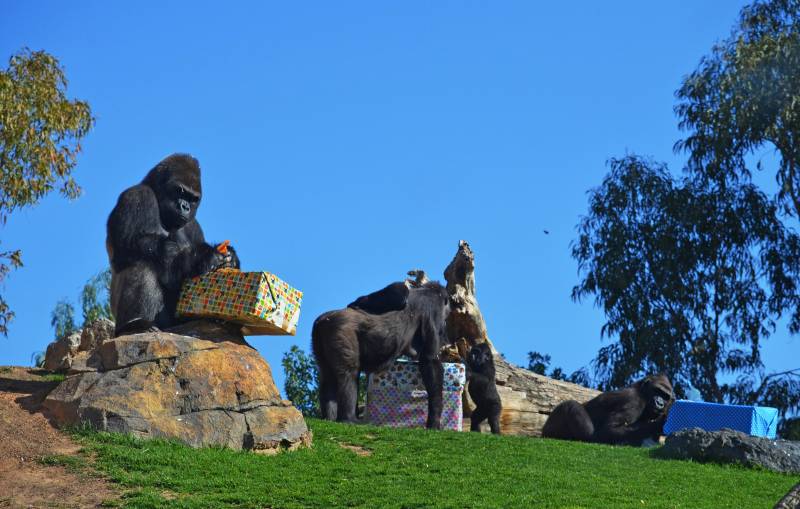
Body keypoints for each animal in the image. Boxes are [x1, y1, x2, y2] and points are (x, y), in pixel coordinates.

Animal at [105, 155, 241, 338]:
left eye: (193, 198)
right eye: (180, 191)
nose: (185, 207)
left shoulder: (194, 225)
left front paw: (231, 258)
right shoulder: (135, 196)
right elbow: (129, 248)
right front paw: (203, 256)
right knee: (143, 263)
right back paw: (134, 325)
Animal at [310, 280, 450, 426]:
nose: (445, 324)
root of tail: (323, 320)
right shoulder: (434, 309)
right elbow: (430, 360)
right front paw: (435, 418)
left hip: (319, 337)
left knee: (328, 376)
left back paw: (329, 418)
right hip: (342, 330)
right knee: (349, 373)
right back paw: (348, 418)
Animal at [536, 374, 676, 444]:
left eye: (665, 396)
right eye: (657, 390)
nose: (660, 403)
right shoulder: (633, 400)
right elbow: (610, 429)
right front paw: (659, 424)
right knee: (572, 405)